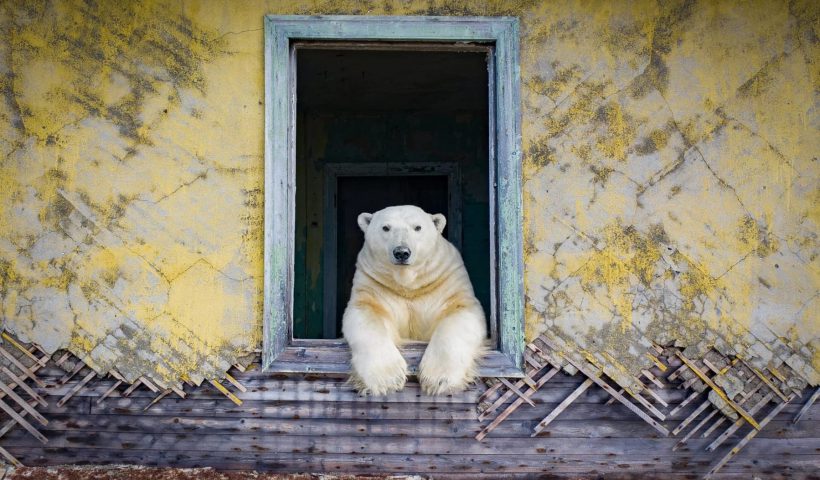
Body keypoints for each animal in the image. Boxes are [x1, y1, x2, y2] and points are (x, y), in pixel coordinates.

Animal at [342, 204, 486, 396]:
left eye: (418, 227)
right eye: (386, 227)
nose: (402, 252)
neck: (408, 285)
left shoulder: (446, 280)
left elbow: (460, 312)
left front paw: (438, 379)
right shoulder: (374, 284)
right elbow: (366, 314)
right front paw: (387, 379)